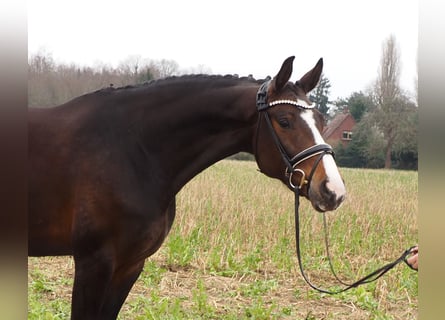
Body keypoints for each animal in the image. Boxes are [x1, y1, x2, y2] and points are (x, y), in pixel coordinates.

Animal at [28, 56, 346, 318]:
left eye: (321, 120)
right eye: (284, 121)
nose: (333, 190)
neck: (132, 149)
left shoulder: (129, 265)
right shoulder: (94, 263)